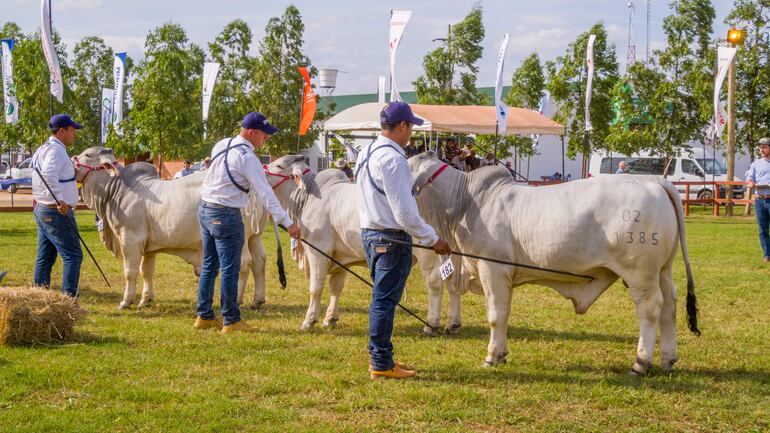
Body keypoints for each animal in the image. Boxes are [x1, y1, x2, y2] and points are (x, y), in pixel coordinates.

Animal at [74, 147, 268, 308]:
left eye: (88, 155)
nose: (73, 159)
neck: (116, 190)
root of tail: (252, 186)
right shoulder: (149, 247)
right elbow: (146, 272)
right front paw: (145, 300)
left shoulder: (130, 239)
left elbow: (130, 272)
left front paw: (126, 301)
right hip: (255, 237)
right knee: (259, 261)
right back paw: (257, 300)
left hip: (238, 238)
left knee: (244, 264)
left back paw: (238, 299)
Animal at [264, 155, 460, 334]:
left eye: (279, 166)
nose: (263, 169)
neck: (307, 198)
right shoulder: (340, 257)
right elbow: (336, 287)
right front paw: (330, 318)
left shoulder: (317, 251)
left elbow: (316, 288)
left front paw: (309, 321)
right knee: (452, 281)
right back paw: (453, 323)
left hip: (429, 254)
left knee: (435, 284)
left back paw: (431, 324)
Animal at [412, 150, 700, 372]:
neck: (466, 203)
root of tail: (656, 182)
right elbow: (504, 314)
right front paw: (501, 353)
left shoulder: (492, 269)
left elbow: (496, 315)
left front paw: (492, 356)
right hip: (663, 271)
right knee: (670, 306)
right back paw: (667, 360)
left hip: (641, 274)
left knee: (650, 309)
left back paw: (641, 363)